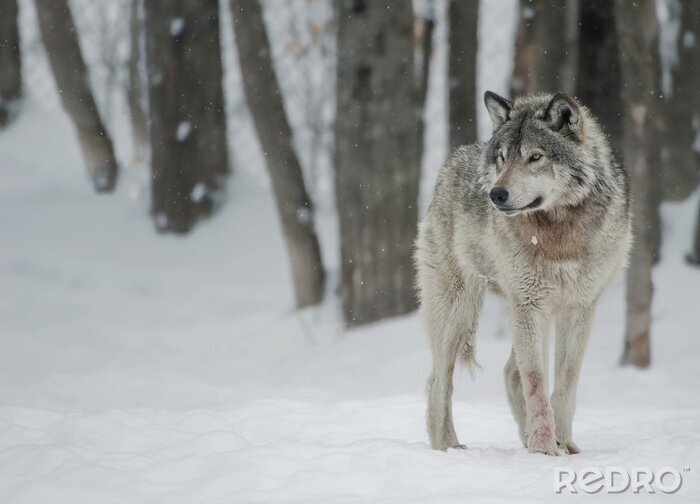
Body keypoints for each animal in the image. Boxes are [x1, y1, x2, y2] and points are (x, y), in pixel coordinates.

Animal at [415, 91, 632, 455]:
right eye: (502, 159)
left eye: (535, 157)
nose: (496, 194)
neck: (558, 233)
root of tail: (451, 161)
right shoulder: (530, 305)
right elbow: (536, 382)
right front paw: (544, 449)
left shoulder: (579, 308)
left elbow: (565, 381)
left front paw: (562, 443)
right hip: (460, 313)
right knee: (438, 382)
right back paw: (448, 447)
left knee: (508, 374)